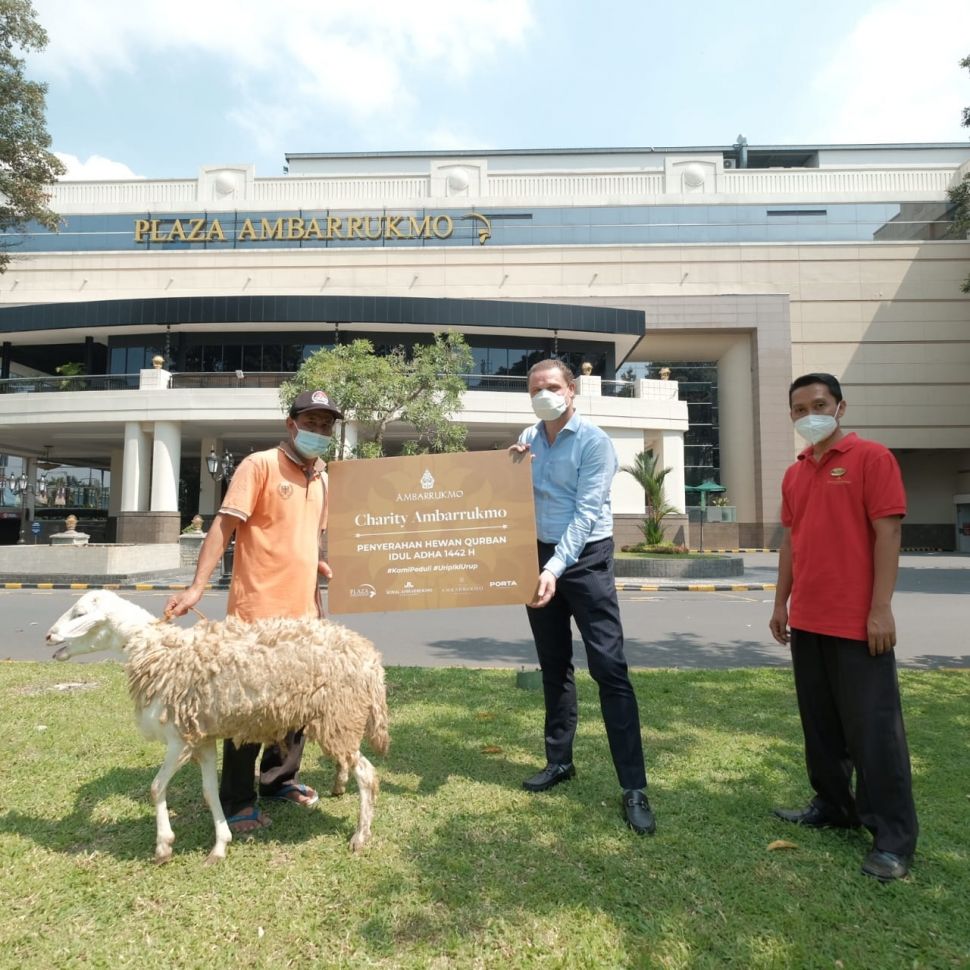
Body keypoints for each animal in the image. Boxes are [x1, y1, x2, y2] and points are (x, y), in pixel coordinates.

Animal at [44, 588, 386, 864]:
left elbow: (156, 787)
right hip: (337, 718)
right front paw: (220, 846)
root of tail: (371, 658)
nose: (48, 636)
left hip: (339, 717)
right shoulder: (202, 738)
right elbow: (210, 792)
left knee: (367, 775)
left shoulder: (180, 738)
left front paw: (163, 846)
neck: (159, 651)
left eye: (80, 614)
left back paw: (360, 837)